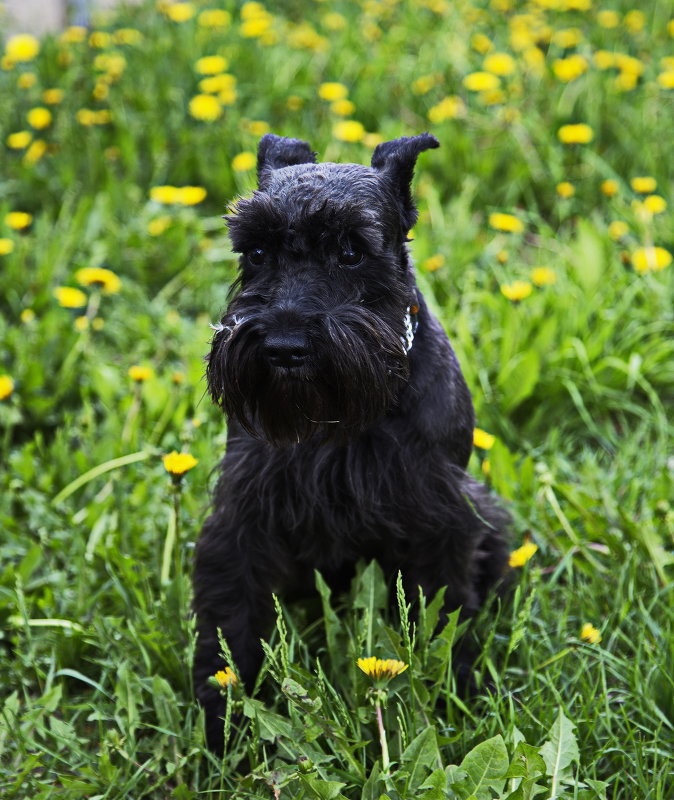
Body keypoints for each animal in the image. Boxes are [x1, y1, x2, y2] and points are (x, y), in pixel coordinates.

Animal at [192, 131, 506, 752]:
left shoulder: (440, 518)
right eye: (255, 252)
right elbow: (230, 622)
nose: (285, 347)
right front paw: (223, 723)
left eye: (352, 251)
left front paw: (453, 691)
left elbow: (443, 609)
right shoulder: (243, 517)